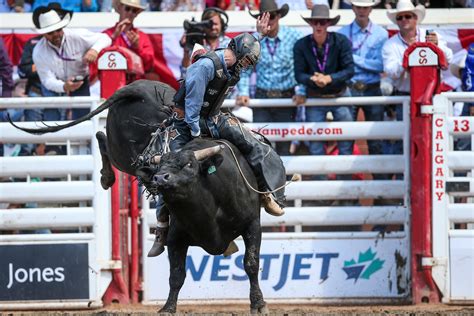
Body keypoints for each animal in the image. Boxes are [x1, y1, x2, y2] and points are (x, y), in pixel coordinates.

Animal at [9, 79, 270, 314]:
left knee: (101, 136)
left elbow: (251, 263)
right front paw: (167, 307)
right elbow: (177, 274)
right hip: (122, 154)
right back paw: (106, 177)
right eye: (160, 166)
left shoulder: (252, 225)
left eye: (188, 165)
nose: (160, 178)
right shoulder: (176, 237)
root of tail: (136, 88)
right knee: (100, 137)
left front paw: (258, 304)